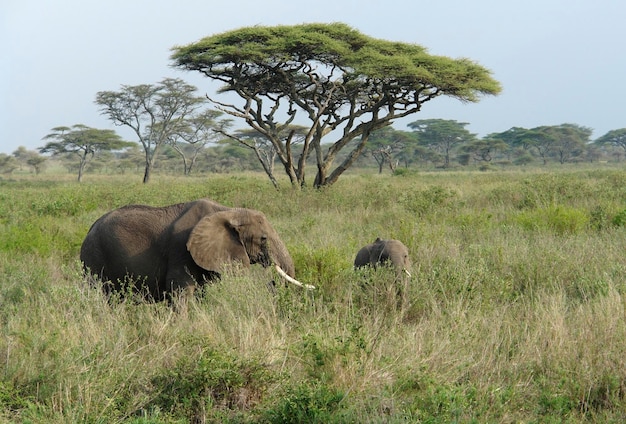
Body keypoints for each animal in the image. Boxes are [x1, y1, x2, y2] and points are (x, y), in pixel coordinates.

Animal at [79, 197, 310, 300]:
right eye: (263, 239)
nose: (271, 281)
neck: (228, 211)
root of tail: (90, 227)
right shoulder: (181, 251)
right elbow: (181, 292)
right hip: (94, 257)